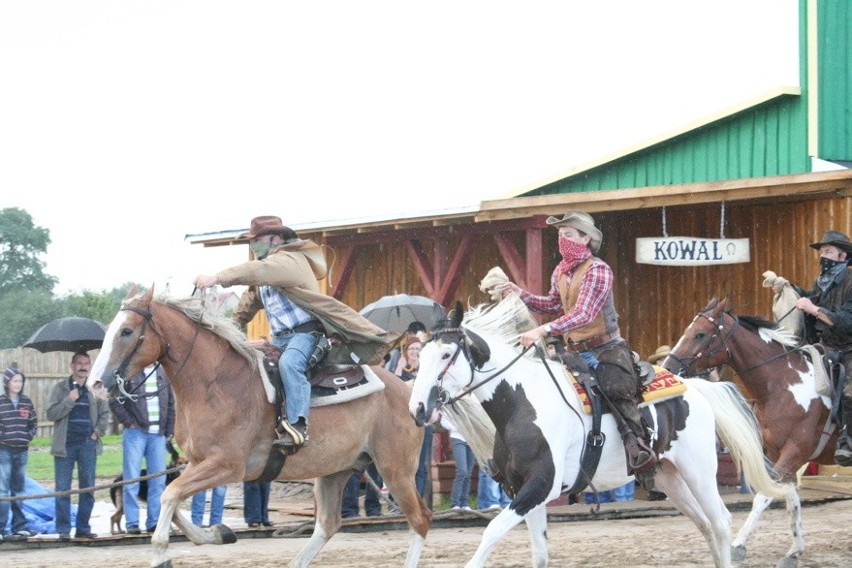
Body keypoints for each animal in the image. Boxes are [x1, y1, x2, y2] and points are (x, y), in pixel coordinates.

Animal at [87, 288, 432, 568]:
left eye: (127, 331)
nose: (95, 384)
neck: (216, 383)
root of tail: (407, 388)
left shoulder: (227, 465)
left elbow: (169, 496)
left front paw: (162, 555)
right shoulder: (197, 463)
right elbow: (168, 498)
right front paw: (219, 532)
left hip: (395, 469)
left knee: (420, 519)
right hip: (336, 470)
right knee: (328, 524)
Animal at [410, 302, 788, 568]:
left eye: (446, 354)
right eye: (421, 355)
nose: (418, 408)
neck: (522, 401)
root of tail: (694, 386)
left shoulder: (540, 487)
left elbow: (489, 533)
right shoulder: (525, 493)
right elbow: (539, 554)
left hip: (699, 472)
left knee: (721, 522)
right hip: (670, 478)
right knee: (706, 526)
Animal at [664, 298, 836, 568]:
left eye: (700, 334)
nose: (669, 367)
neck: (783, 383)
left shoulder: (795, 451)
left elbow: (764, 496)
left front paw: (737, 545)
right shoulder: (781, 455)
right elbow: (791, 500)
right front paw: (794, 550)